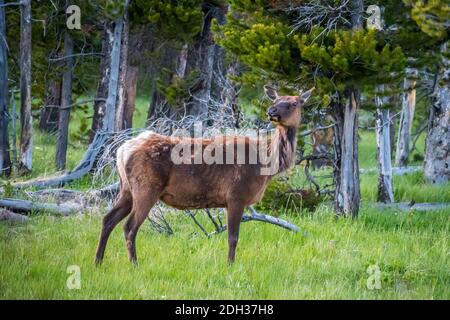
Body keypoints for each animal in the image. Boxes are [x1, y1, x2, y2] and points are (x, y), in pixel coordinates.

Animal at [94, 85, 312, 264]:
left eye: (294, 103)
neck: (266, 164)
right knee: (129, 227)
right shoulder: (236, 196)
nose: (271, 112)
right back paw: (134, 264)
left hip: (126, 189)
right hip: (146, 188)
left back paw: (98, 261)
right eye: (275, 100)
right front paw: (230, 265)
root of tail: (122, 149)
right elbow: (233, 238)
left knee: (108, 219)